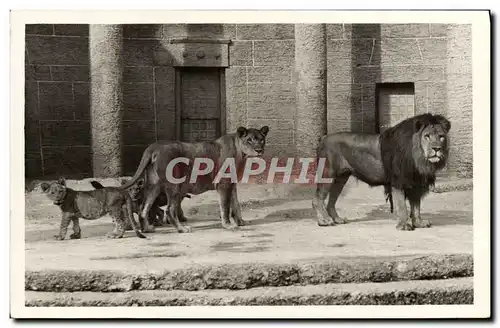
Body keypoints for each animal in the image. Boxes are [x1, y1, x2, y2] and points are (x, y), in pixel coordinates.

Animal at [119, 125, 270, 233]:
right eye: (249, 140)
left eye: (261, 139)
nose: (259, 150)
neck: (241, 154)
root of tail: (153, 147)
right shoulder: (223, 184)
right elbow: (225, 207)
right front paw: (228, 225)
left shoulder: (232, 185)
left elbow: (236, 205)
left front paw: (241, 222)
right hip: (174, 185)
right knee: (170, 209)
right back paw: (182, 229)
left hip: (153, 185)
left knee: (144, 208)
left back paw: (148, 229)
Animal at [312, 114, 450, 232]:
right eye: (427, 136)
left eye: (441, 136)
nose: (437, 148)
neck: (419, 158)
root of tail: (323, 138)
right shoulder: (398, 181)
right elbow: (402, 206)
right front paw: (404, 225)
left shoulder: (416, 183)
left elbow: (416, 207)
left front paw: (419, 223)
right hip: (328, 174)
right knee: (318, 198)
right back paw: (324, 221)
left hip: (341, 178)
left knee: (331, 200)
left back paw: (337, 219)